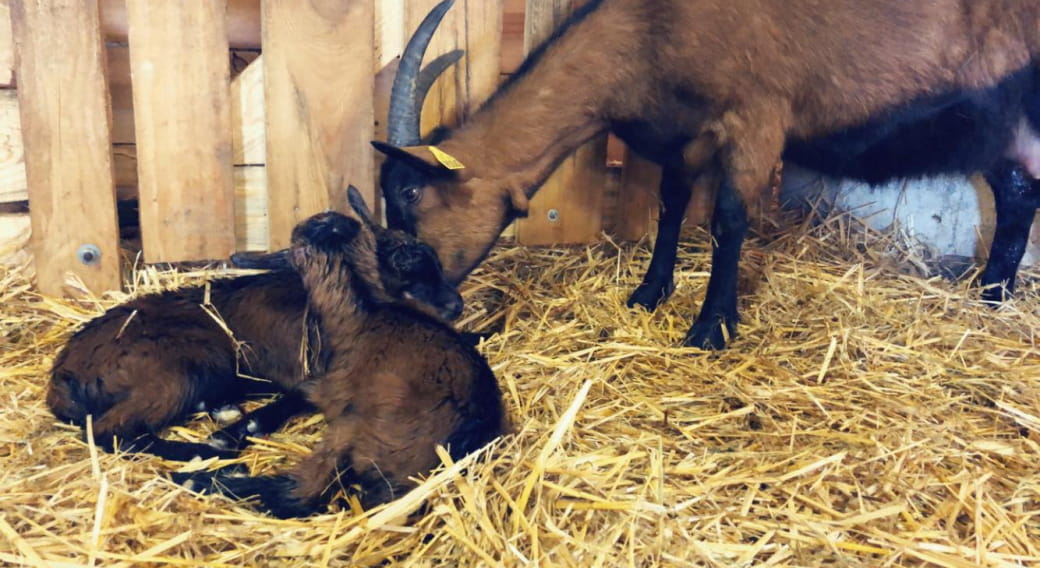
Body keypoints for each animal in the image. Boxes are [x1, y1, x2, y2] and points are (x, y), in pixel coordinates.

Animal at [174, 204, 507, 518]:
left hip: (363, 429)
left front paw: (226, 437)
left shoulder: (335, 393)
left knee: (298, 494)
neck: (363, 314)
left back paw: (200, 479)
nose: (455, 305)